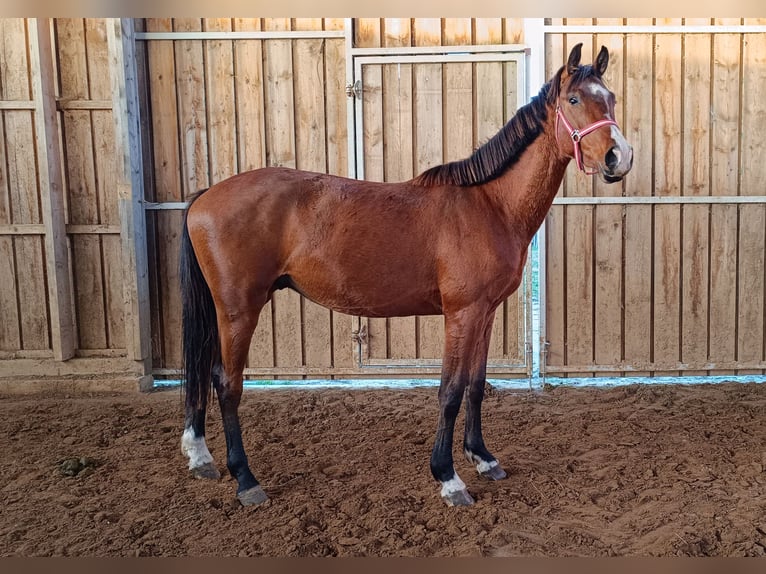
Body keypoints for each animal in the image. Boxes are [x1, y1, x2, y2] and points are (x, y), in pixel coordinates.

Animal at [180, 42, 636, 506]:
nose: (619, 157)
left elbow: (476, 385)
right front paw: (449, 477)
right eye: (574, 100)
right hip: (239, 309)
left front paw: (483, 458)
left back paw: (200, 457)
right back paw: (245, 479)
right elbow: (450, 392)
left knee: (204, 371)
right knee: (227, 383)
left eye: (611, 98)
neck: (490, 204)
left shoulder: (486, 313)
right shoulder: (462, 314)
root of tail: (206, 196)